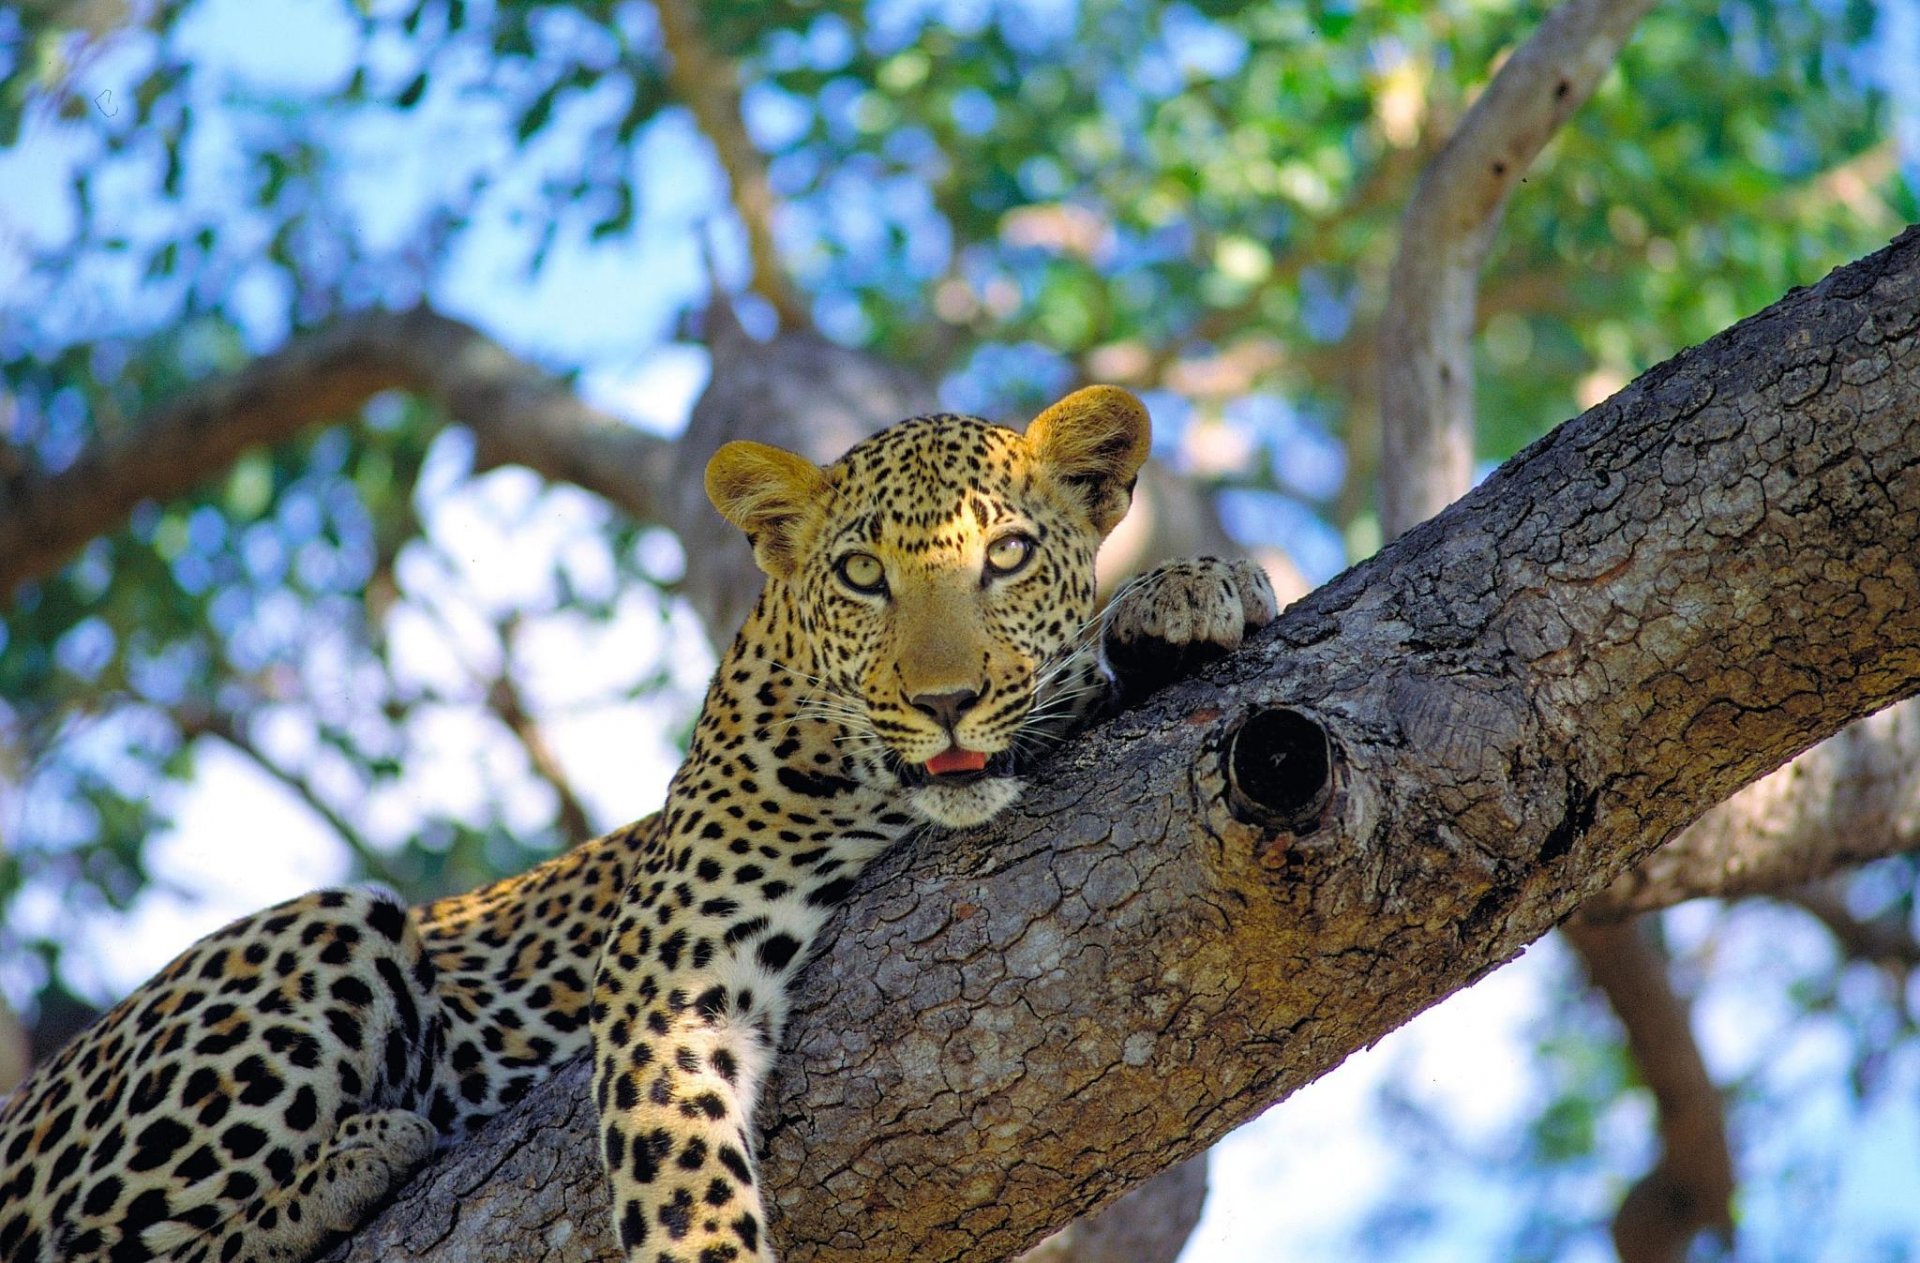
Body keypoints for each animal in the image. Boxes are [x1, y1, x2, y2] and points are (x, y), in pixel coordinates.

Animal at [3, 385, 1290, 1259]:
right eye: (863, 576)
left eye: (1010, 556)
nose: (943, 700)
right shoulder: (674, 966)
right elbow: (682, 1182)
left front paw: (1191, 590)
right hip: (325, 923)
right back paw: (353, 1159)